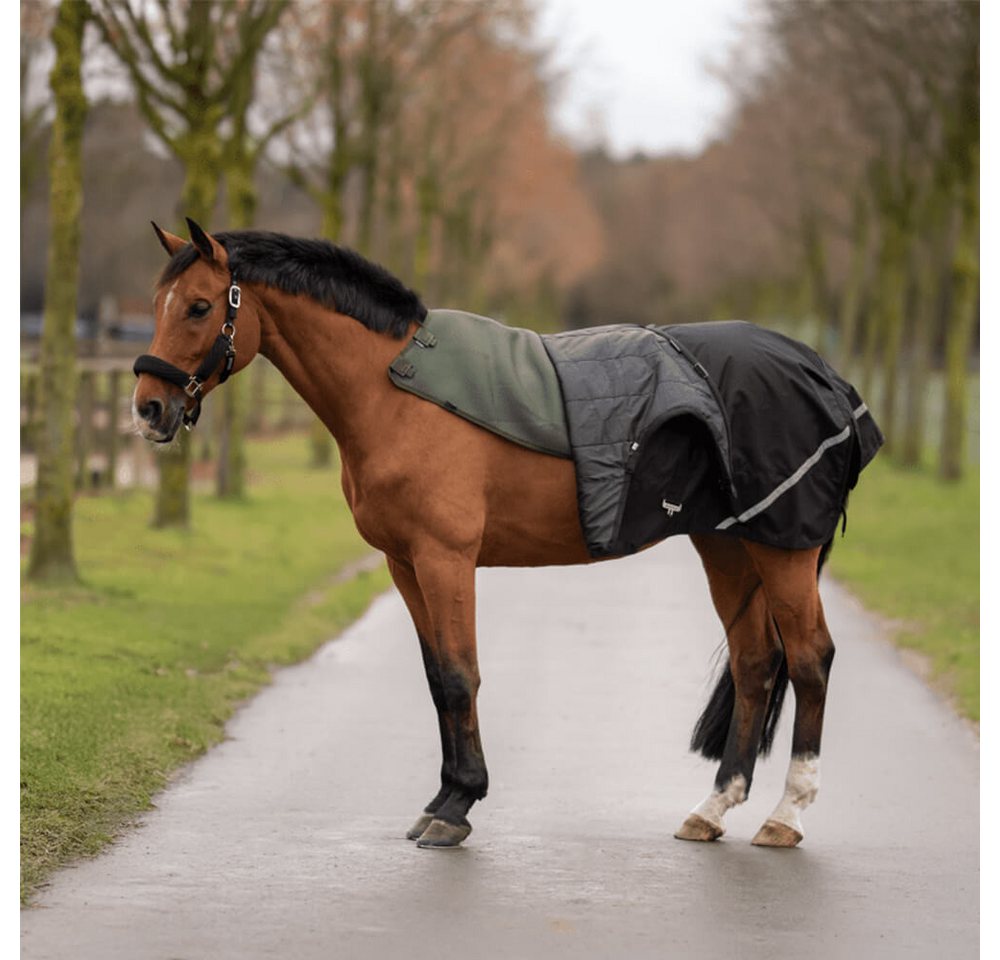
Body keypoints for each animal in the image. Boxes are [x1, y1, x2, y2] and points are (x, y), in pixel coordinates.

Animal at [133, 218, 874, 850]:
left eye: (199, 306)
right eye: (158, 302)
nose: (148, 408)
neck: (395, 392)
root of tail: (823, 374)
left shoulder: (446, 558)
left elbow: (462, 675)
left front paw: (458, 807)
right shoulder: (405, 564)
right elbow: (438, 676)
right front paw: (441, 799)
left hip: (783, 547)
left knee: (810, 659)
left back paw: (786, 816)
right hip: (727, 545)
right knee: (755, 663)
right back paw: (712, 809)